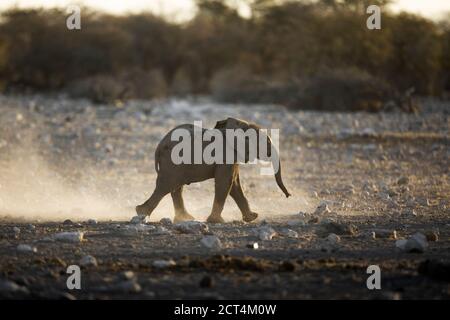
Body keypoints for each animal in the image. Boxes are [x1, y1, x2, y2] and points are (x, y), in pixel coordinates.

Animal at [135, 116, 290, 224]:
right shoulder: (226, 155)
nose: (288, 195)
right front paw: (217, 221)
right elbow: (226, 182)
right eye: (267, 142)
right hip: (172, 162)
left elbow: (234, 183)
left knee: (175, 188)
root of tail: (158, 148)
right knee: (166, 186)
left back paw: (185, 219)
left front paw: (252, 217)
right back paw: (141, 213)